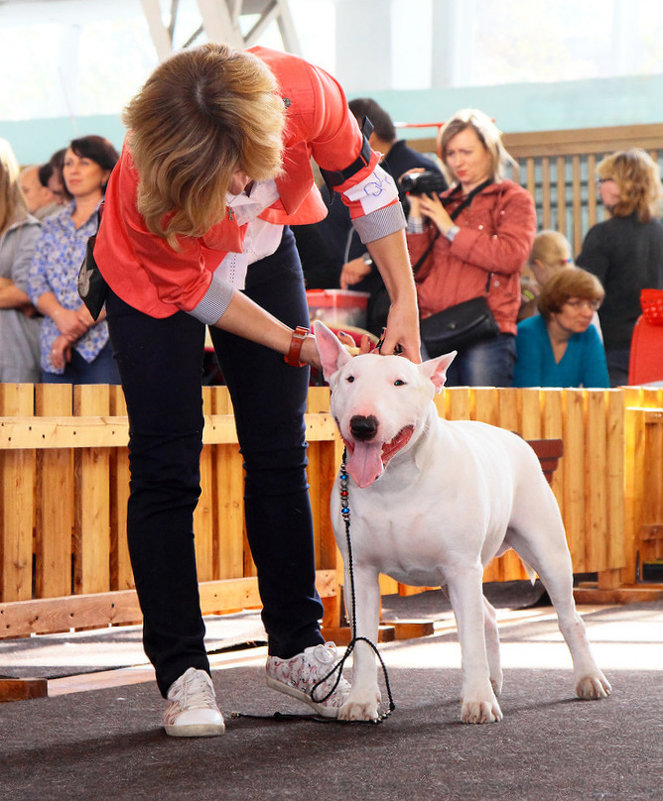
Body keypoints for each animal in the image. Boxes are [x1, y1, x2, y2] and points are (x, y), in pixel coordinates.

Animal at [316, 322, 612, 720]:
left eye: (399, 382)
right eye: (349, 379)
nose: (363, 424)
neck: (395, 482)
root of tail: (514, 438)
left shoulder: (460, 566)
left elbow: (469, 640)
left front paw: (477, 703)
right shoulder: (359, 570)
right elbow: (363, 641)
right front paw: (361, 701)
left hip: (544, 549)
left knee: (568, 617)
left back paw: (588, 679)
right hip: (452, 577)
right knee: (488, 614)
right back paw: (494, 680)